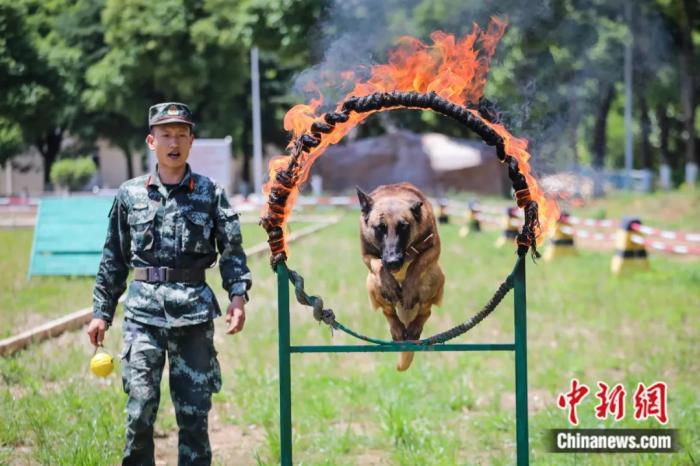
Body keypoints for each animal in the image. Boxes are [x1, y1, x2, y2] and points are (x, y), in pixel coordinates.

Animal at [358, 182, 446, 372]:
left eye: (403, 227)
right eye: (380, 227)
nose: (393, 262)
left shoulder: (433, 249)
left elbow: (416, 264)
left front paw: (408, 290)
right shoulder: (367, 255)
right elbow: (378, 265)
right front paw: (390, 284)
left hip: (433, 277)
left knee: (426, 310)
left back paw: (414, 328)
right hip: (372, 282)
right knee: (388, 311)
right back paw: (397, 328)